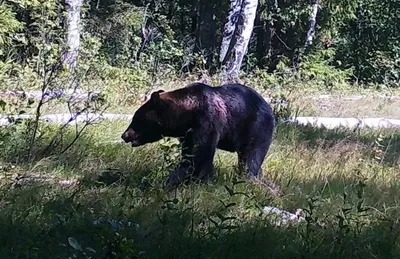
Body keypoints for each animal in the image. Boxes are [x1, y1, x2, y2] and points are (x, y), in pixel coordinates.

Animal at [121, 83, 276, 189]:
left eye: (136, 119)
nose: (124, 135)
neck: (187, 113)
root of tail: (269, 108)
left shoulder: (207, 122)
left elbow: (199, 155)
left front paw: (171, 180)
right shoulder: (187, 134)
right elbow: (190, 153)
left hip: (256, 127)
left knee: (251, 156)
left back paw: (249, 178)